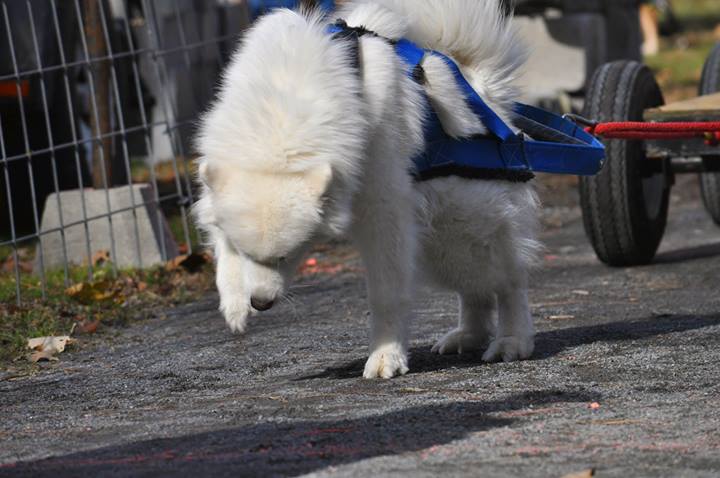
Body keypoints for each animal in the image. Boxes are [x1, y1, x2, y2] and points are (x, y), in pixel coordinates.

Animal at [191, 0, 540, 380]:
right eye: (246, 252)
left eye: (291, 254)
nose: (262, 303)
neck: (277, 119)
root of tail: (485, 93)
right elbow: (222, 251)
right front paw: (234, 304)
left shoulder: (383, 213)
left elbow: (386, 294)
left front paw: (386, 356)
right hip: (442, 247)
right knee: (475, 288)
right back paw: (468, 335)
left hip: (473, 226)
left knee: (510, 282)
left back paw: (511, 340)